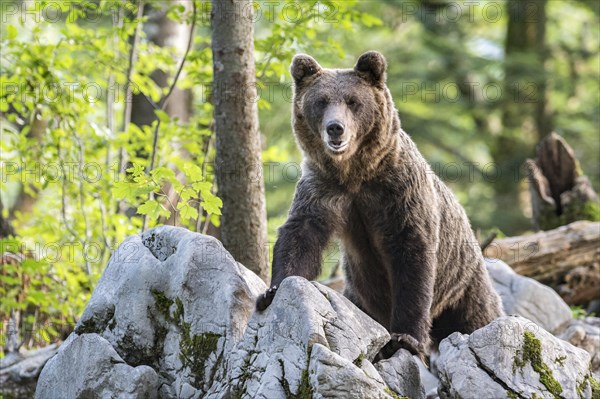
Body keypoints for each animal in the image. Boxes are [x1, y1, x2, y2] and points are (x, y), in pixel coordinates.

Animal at [255, 50, 504, 360]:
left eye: (353, 101)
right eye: (321, 101)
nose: (335, 128)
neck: (355, 173)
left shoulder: (399, 193)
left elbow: (413, 258)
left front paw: (405, 337)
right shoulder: (324, 190)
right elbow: (301, 235)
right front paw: (272, 291)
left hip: (464, 284)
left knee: (477, 317)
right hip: (357, 293)